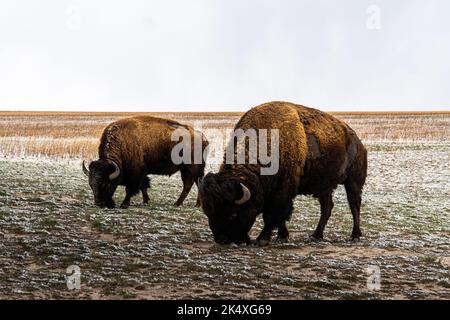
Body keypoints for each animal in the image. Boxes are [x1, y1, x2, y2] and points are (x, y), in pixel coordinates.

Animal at [199, 102, 368, 245]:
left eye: (233, 214)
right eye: (208, 212)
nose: (221, 239)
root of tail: (357, 140)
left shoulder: (283, 191)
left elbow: (272, 215)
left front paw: (262, 239)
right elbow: (280, 217)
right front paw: (282, 236)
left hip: (353, 182)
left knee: (354, 205)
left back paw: (355, 235)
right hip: (324, 187)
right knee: (327, 207)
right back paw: (316, 235)